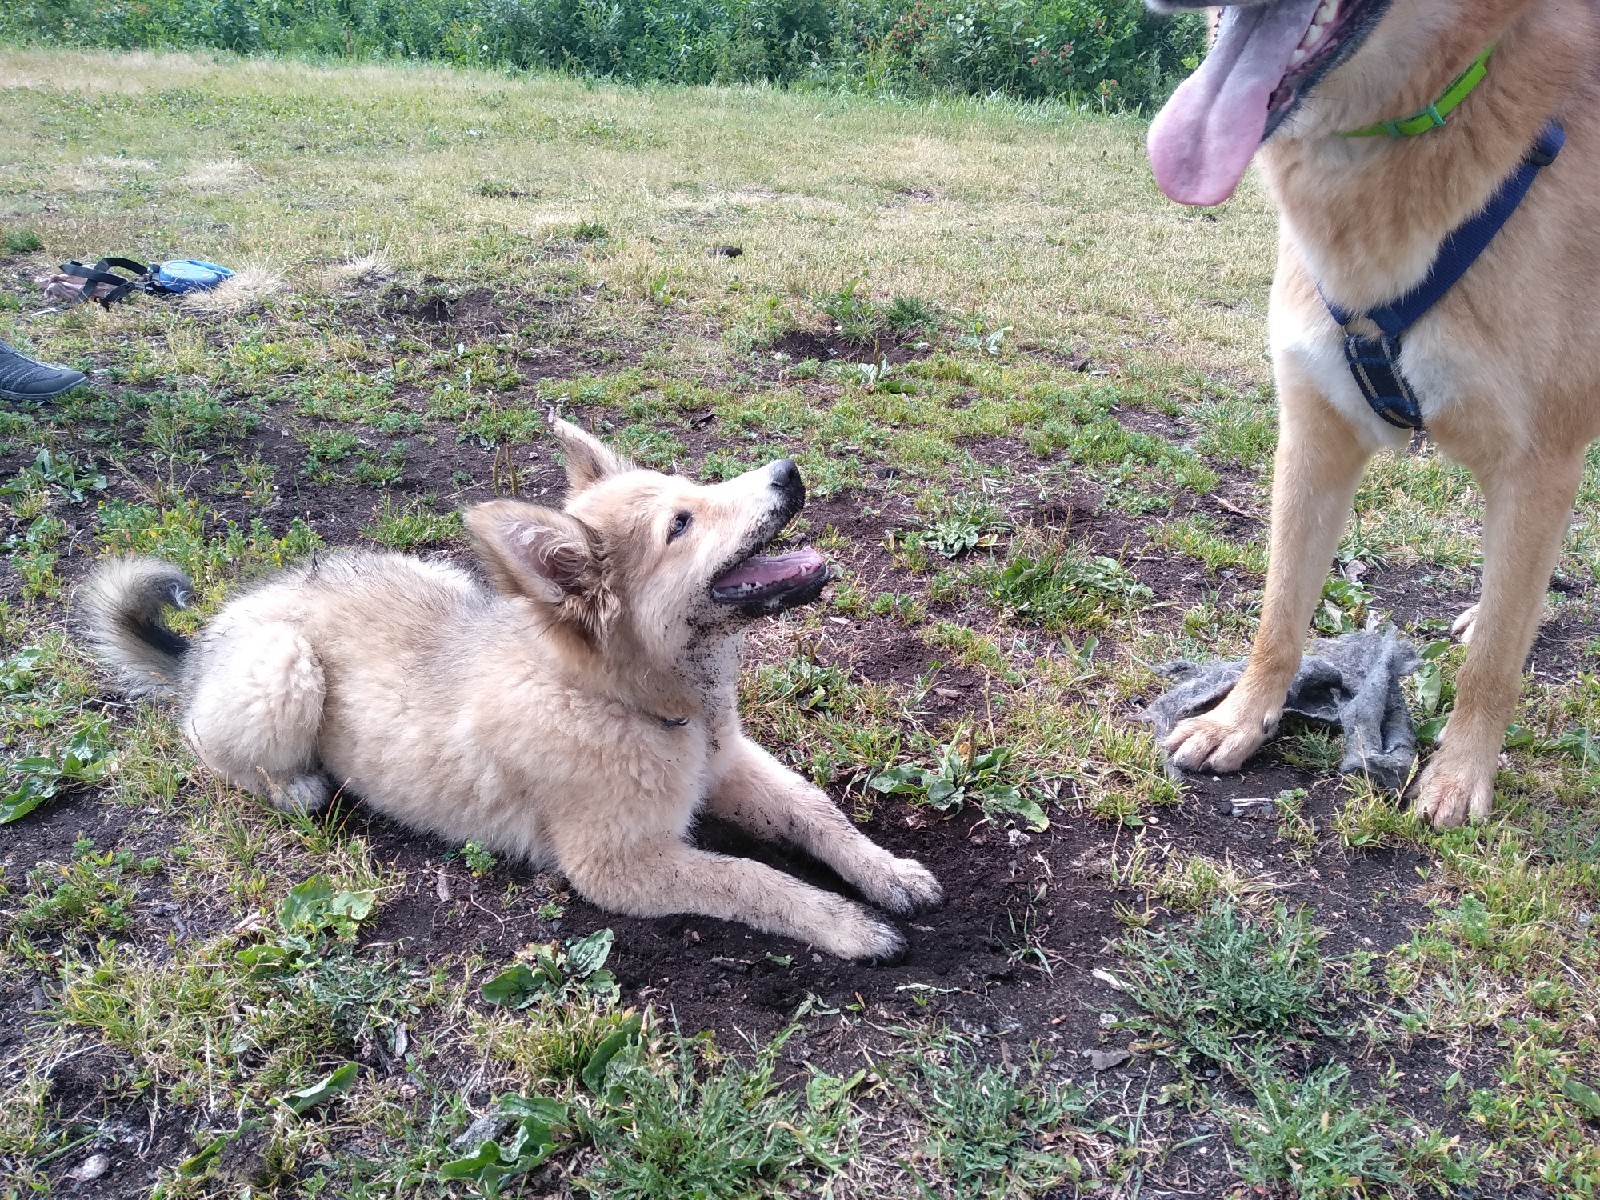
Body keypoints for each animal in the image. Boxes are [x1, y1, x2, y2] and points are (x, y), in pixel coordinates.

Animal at [81, 419, 940, 966]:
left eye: (690, 488)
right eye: (681, 524)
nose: (788, 473)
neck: (638, 705)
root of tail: (203, 645)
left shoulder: (728, 765)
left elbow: (816, 813)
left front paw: (887, 872)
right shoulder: (617, 865)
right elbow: (753, 879)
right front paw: (843, 924)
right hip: (284, 666)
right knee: (211, 748)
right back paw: (296, 785)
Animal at [1145, 0, 1600, 825]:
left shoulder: (1538, 466)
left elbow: (1492, 667)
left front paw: (1460, 774)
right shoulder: (1313, 433)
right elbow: (1280, 612)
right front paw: (1239, 718)